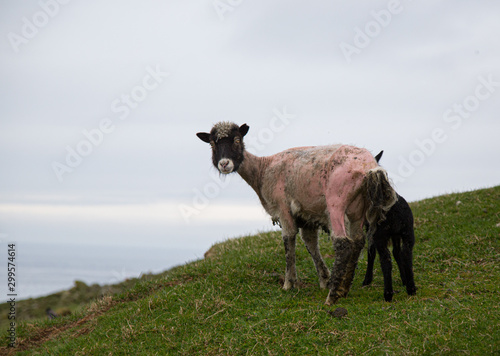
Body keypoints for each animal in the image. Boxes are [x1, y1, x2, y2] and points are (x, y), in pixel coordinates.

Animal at [197, 121, 396, 304]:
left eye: (237, 139)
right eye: (212, 144)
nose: (224, 164)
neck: (263, 170)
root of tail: (369, 166)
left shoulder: (283, 207)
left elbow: (289, 239)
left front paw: (289, 283)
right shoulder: (307, 216)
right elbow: (310, 244)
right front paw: (324, 279)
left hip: (336, 200)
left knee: (343, 243)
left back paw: (332, 297)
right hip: (357, 208)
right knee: (358, 242)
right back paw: (343, 288)